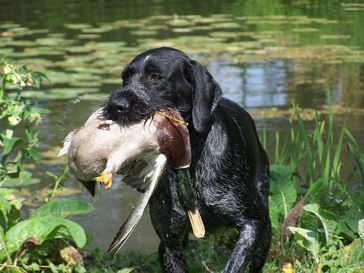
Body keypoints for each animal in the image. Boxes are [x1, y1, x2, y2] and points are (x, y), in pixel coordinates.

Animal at [104, 47, 272, 270]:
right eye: (125, 78)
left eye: (155, 77)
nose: (115, 105)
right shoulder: (169, 243)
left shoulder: (252, 222)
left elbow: (234, 263)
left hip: (265, 230)